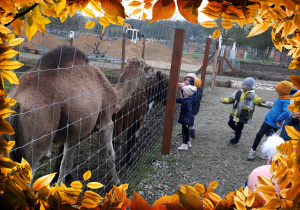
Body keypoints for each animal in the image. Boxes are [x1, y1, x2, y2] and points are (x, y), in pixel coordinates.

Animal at [7, 44, 146, 184]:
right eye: (146, 67)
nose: (150, 74)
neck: (115, 96)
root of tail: (17, 102)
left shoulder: (74, 132)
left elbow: (66, 165)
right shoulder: (106, 121)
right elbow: (110, 156)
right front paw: (117, 182)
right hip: (37, 139)